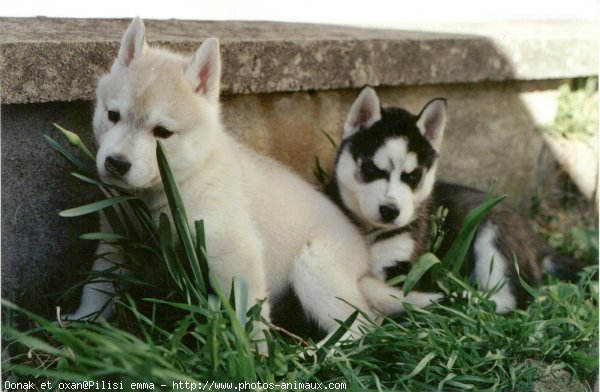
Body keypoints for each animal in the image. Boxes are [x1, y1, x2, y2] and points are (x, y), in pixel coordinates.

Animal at [65, 17, 438, 346]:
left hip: (314, 265)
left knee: (362, 326)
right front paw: (83, 320)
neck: (172, 187)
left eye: (162, 133)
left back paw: (317, 354)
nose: (116, 164)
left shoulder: (236, 253)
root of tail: (363, 268)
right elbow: (97, 285)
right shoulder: (113, 237)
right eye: (113, 116)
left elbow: (249, 317)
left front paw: (254, 357)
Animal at [330, 86, 584, 312]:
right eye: (371, 169)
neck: (370, 233)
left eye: (413, 176)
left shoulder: (406, 268)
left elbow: (387, 291)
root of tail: (536, 240)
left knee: (507, 300)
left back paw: (457, 299)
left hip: (496, 233)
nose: (390, 211)